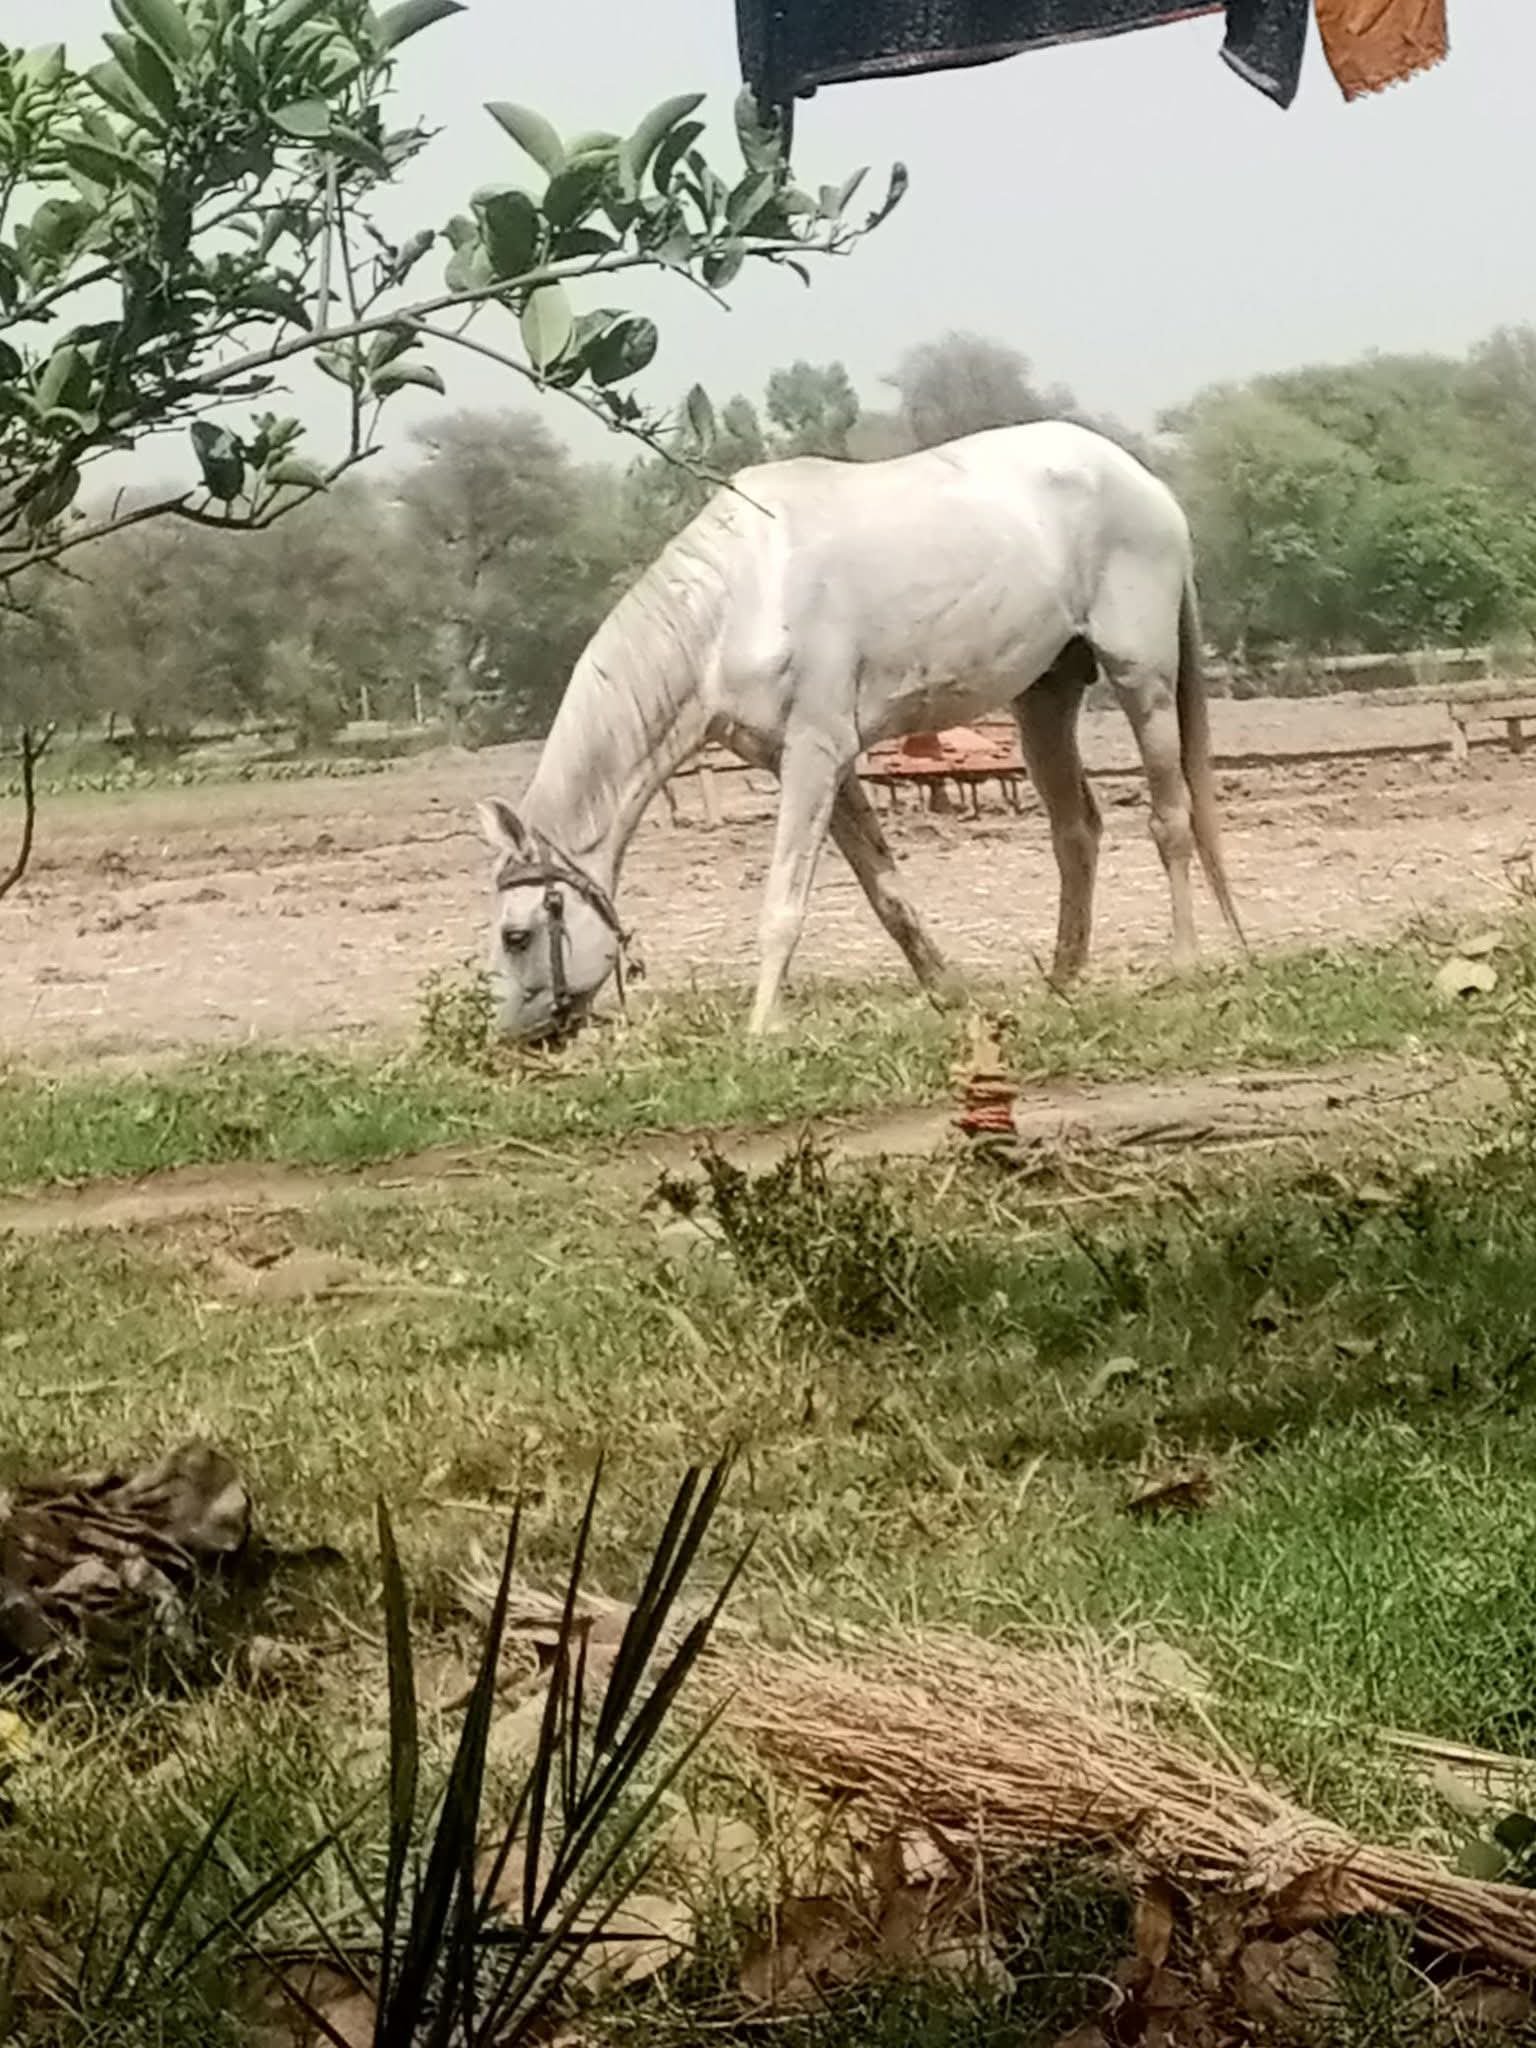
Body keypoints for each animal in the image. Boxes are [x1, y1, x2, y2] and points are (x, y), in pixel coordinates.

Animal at [474, 419, 1244, 1040]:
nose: (515, 1038)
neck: (735, 602)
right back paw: (1063, 980)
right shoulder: (820, 764)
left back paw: (1184, 962)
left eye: (516, 935)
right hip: (1044, 696)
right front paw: (949, 994)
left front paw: (761, 1031)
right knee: (1076, 833)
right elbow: (887, 893)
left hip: (1142, 678)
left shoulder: (815, 756)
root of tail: (1146, 483)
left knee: (1170, 819)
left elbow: (783, 903)